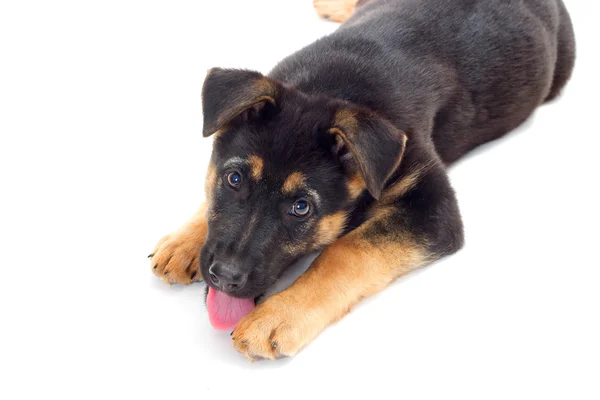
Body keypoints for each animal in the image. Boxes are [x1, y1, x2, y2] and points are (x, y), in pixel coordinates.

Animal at [150, 0, 576, 360]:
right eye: (235, 179)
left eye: (301, 208)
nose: (225, 276)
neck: (327, 87)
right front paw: (184, 240)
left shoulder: (433, 205)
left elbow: (347, 251)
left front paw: (279, 314)